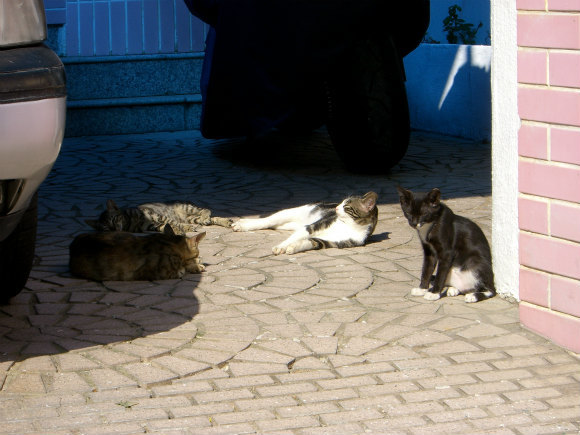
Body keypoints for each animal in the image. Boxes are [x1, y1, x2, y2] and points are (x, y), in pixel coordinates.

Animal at [233, 192, 378, 255]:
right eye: (342, 203)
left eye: (346, 206)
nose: (336, 207)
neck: (349, 226)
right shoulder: (312, 227)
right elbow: (294, 238)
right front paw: (282, 246)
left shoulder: (332, 242)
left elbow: (311, 242)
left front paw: (293, 247)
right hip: (290, 213)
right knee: (266, 221)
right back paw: (242, 224)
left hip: (289, 224)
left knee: (271, 224)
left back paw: (242, 221)